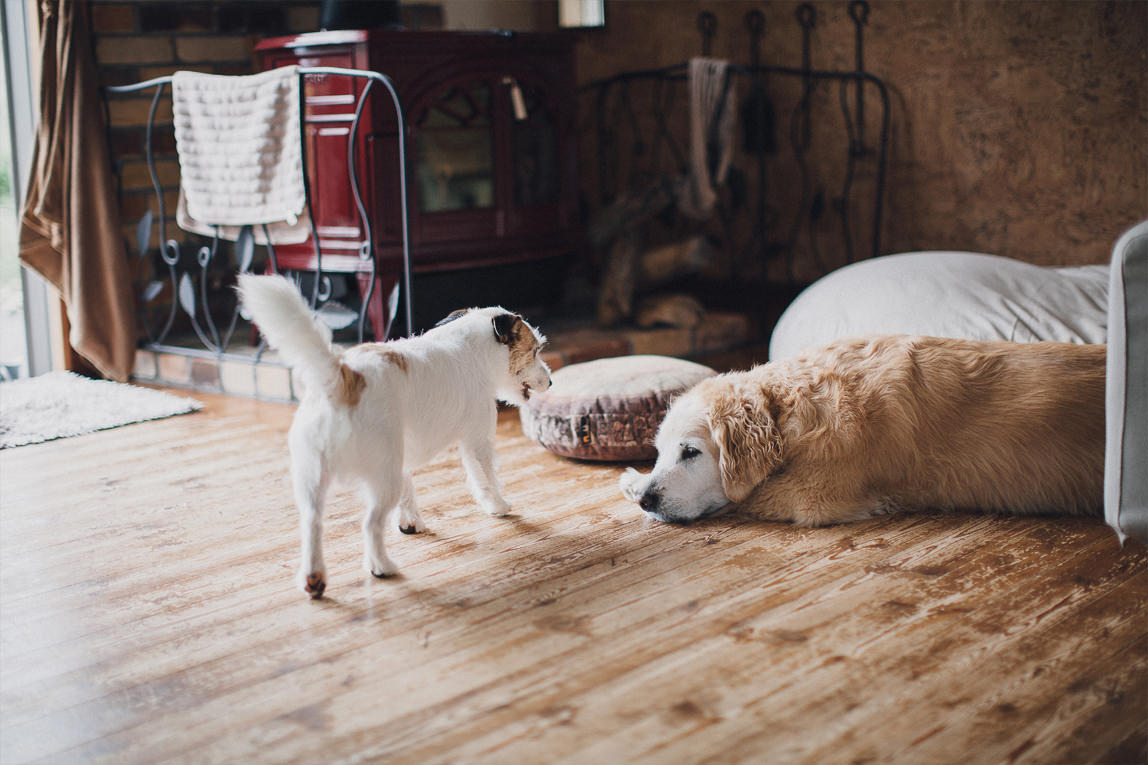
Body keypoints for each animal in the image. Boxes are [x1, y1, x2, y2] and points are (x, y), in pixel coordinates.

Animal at [235, 274, 548, 597]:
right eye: (535, 351)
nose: (550, 381)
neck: (476, 350)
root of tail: (342, 379)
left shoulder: (402, 457)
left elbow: (410, 491)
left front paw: (410, 523)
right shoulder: (477, 440)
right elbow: (487, 478)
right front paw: (498, 506)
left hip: (315, 478)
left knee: (313, 523)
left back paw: (314, 578)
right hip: (383, 480)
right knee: (370, 524)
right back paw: (382, 566)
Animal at [624, 333, 1106, 523]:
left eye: (690, 452)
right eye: (660, 452)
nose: (649, 500)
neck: (792, 412)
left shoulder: (815, 494)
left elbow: (745, 496)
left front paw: (632, 484)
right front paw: (635, 481)